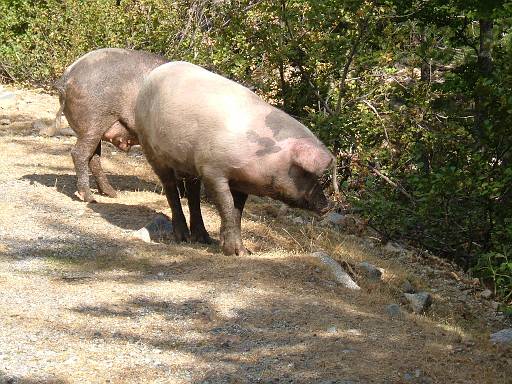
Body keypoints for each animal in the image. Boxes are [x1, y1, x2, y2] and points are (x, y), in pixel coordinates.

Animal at [134, 62, 338, 255]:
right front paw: (236, 253)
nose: (328, 206)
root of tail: (153, 74)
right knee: (170, 187)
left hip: (188, 162)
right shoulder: (213, 171)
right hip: (150, 147)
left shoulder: (241, 182)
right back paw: (182, 238)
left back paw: (204, 239)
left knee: (192, 192)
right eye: (305, 173)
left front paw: (243, 251)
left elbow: (236, 212)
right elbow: (227, 207)